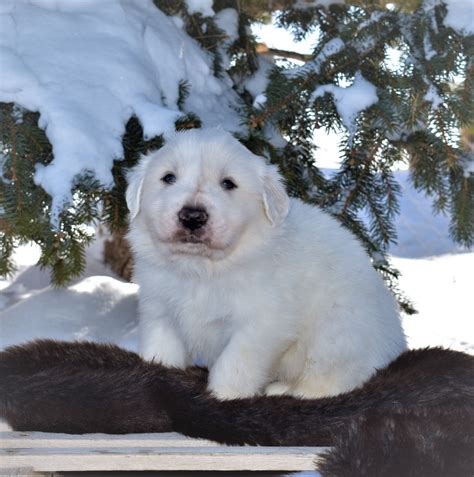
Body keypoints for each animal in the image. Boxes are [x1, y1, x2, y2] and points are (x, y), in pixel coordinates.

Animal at [127, 127, 408, 398]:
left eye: (228, 183)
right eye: (168, 178)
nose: (192, 217)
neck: (201, 269)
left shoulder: (260, 324)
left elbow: (234, 364)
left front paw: (223, 395)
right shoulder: (159, 311)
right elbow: (161, 351)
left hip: (337, 334)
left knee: (330, 383)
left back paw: (282, 389)